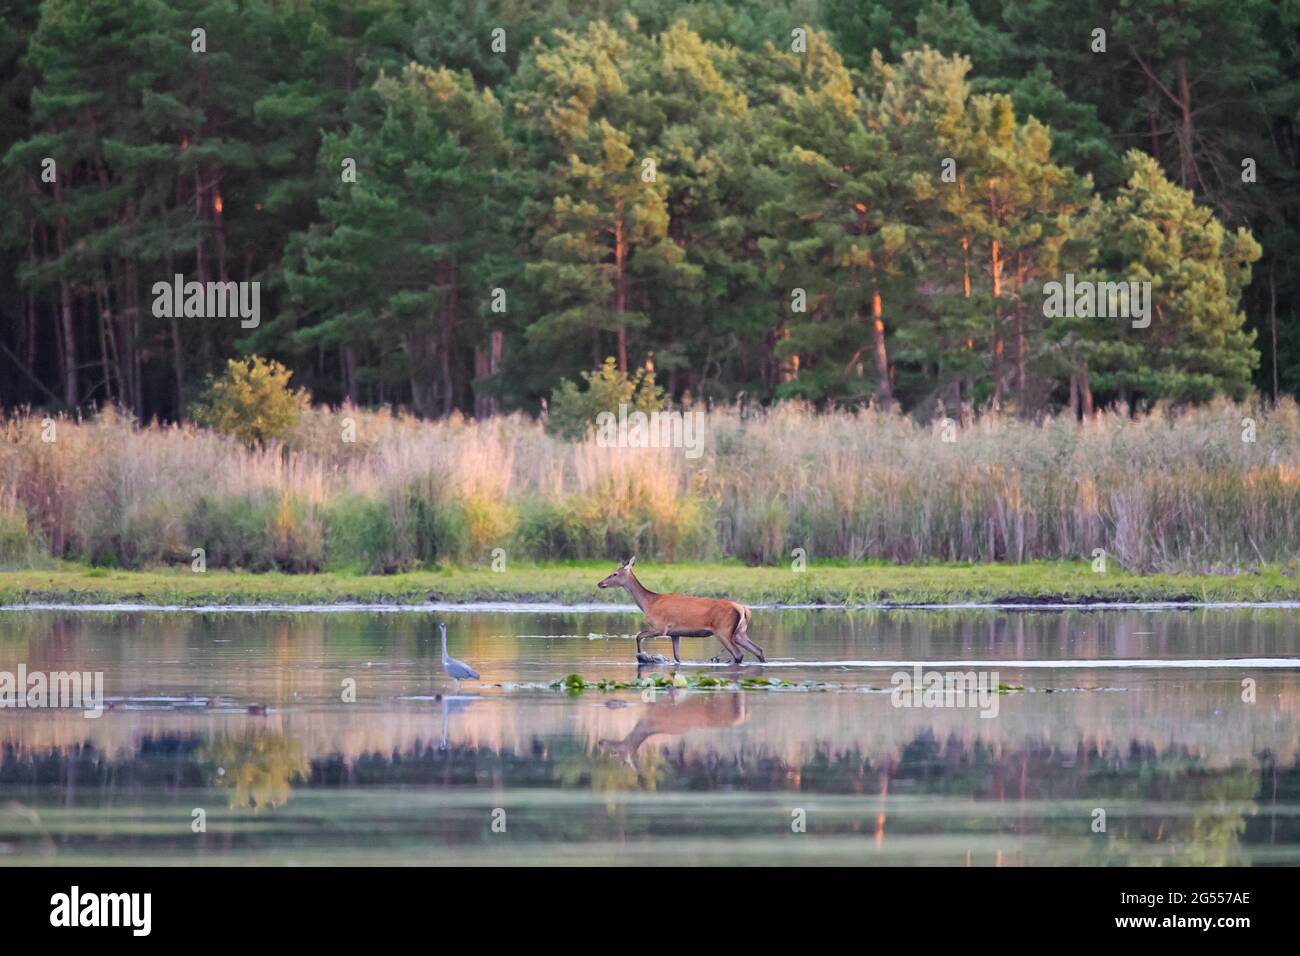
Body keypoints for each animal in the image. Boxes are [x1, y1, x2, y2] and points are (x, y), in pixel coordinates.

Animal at [596, 556, 766, 664]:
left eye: (614, 573)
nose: (600, 583)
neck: (648, 603)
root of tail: (743, 609)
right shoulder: (675, 633)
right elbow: (677, 657)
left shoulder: (660, 627)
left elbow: (638, 636)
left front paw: (642, 657)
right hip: (739, 632)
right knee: (758, 650)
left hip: (723, 630)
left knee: (739, 653)